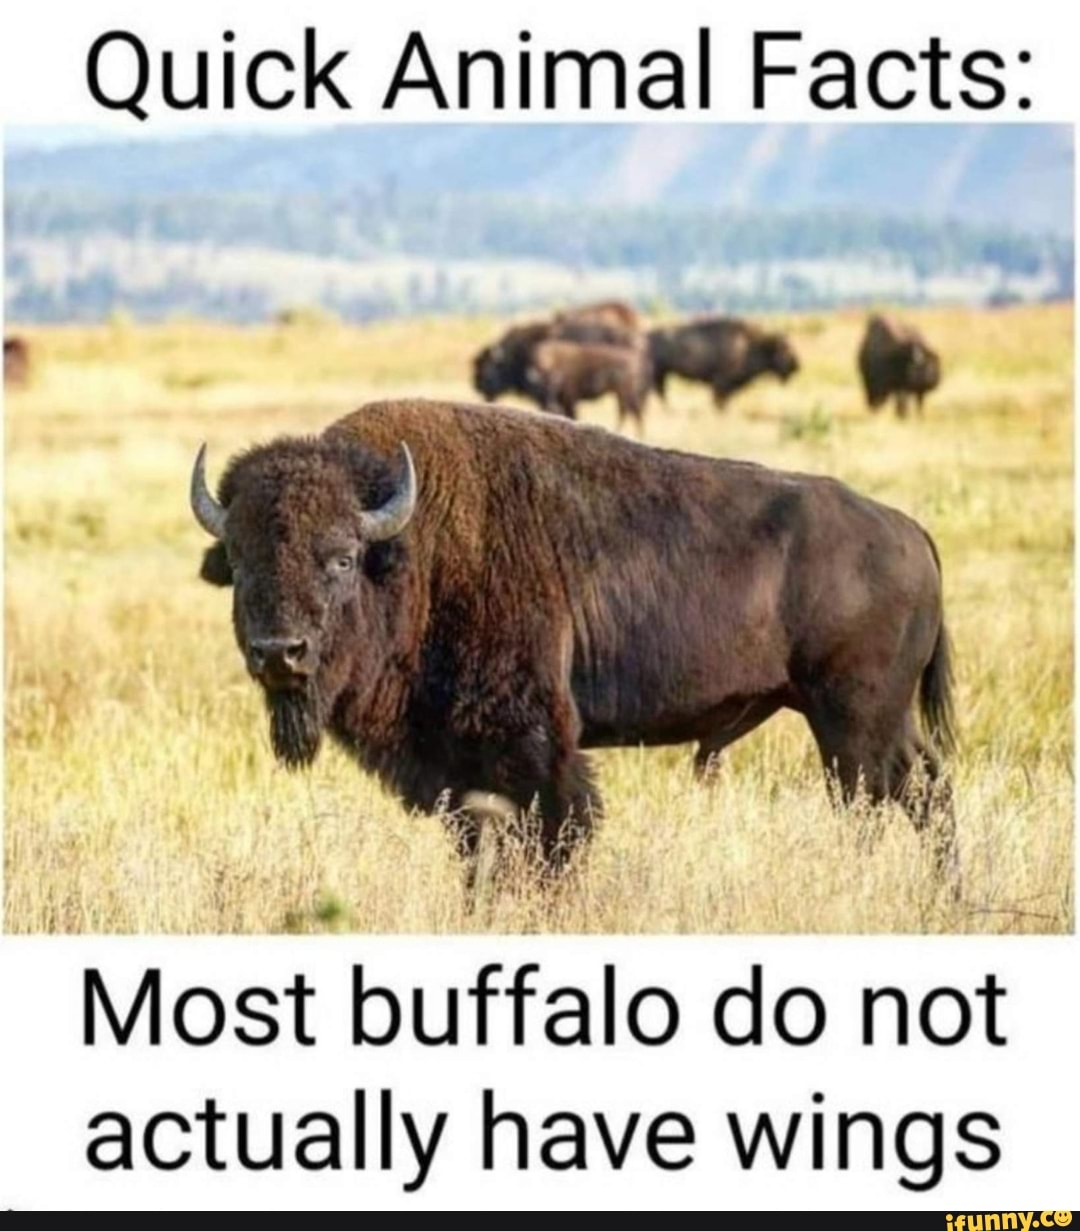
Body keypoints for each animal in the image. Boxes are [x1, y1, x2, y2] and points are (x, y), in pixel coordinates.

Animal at [190, 399, 956, 878]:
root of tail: (910, 531)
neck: (413, 552)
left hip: (852, 727)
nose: (280, 653)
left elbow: (555, 837)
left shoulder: (536, 752)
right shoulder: (460, 772)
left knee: (887, 800)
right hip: (877, 725)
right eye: (240, 561)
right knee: (929, 791)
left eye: (342, 557)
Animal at [648, 317, 799, 408]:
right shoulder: (722, 383)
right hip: (660, 373)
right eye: (785, 350)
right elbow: (719, 402)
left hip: (663, 373)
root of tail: (650, 335)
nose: (796, 366)